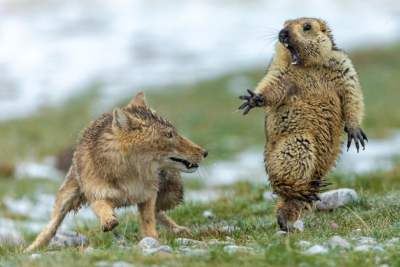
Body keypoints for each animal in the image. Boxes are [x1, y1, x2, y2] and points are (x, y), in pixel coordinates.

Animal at [25, 92, 208, 253]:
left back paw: (180, 230)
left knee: (159, 212)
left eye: (174, 133)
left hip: (172, 195)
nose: (205, 152)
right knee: (50, 228)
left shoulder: (148, 195)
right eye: (168, 135)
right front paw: (108, 220)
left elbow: (149, 221)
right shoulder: (97, 195)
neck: (129, 175)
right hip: (66, 198)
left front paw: (153, 240)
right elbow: (103, 208)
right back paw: (29, 250)